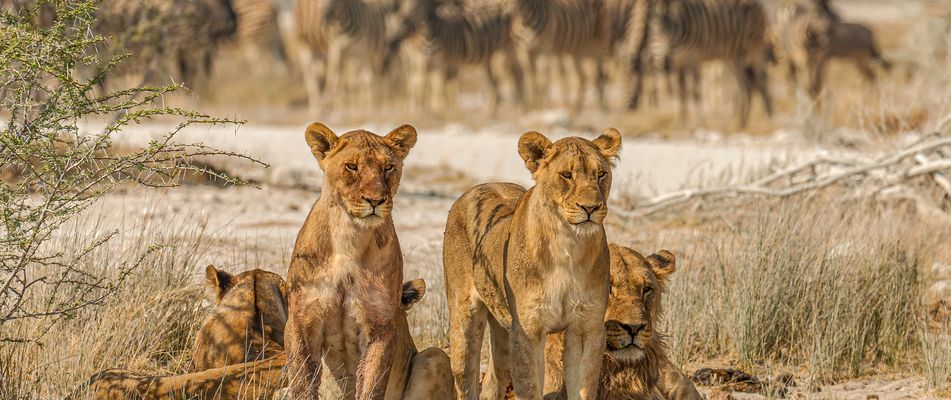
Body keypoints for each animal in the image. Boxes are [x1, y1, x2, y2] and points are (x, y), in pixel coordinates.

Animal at [284, 122, 453, 400]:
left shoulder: (380, 326)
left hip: (434, 356)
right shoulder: (302, 320)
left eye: (388, 167)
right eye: (352, 166)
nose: (375, 200)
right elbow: (302, 382)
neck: (349, 238)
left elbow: (372, 384)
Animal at [443, 129, 622, 399]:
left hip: (503, 331)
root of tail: (477, 187)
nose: (590, 207)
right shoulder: (528, 330)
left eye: (601, 174)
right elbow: (529, 388)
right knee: (467, 379)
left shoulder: (586, 328)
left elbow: (583, 387)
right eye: (566, 175)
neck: (568, 244)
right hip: (465, 320)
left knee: (492, 381)